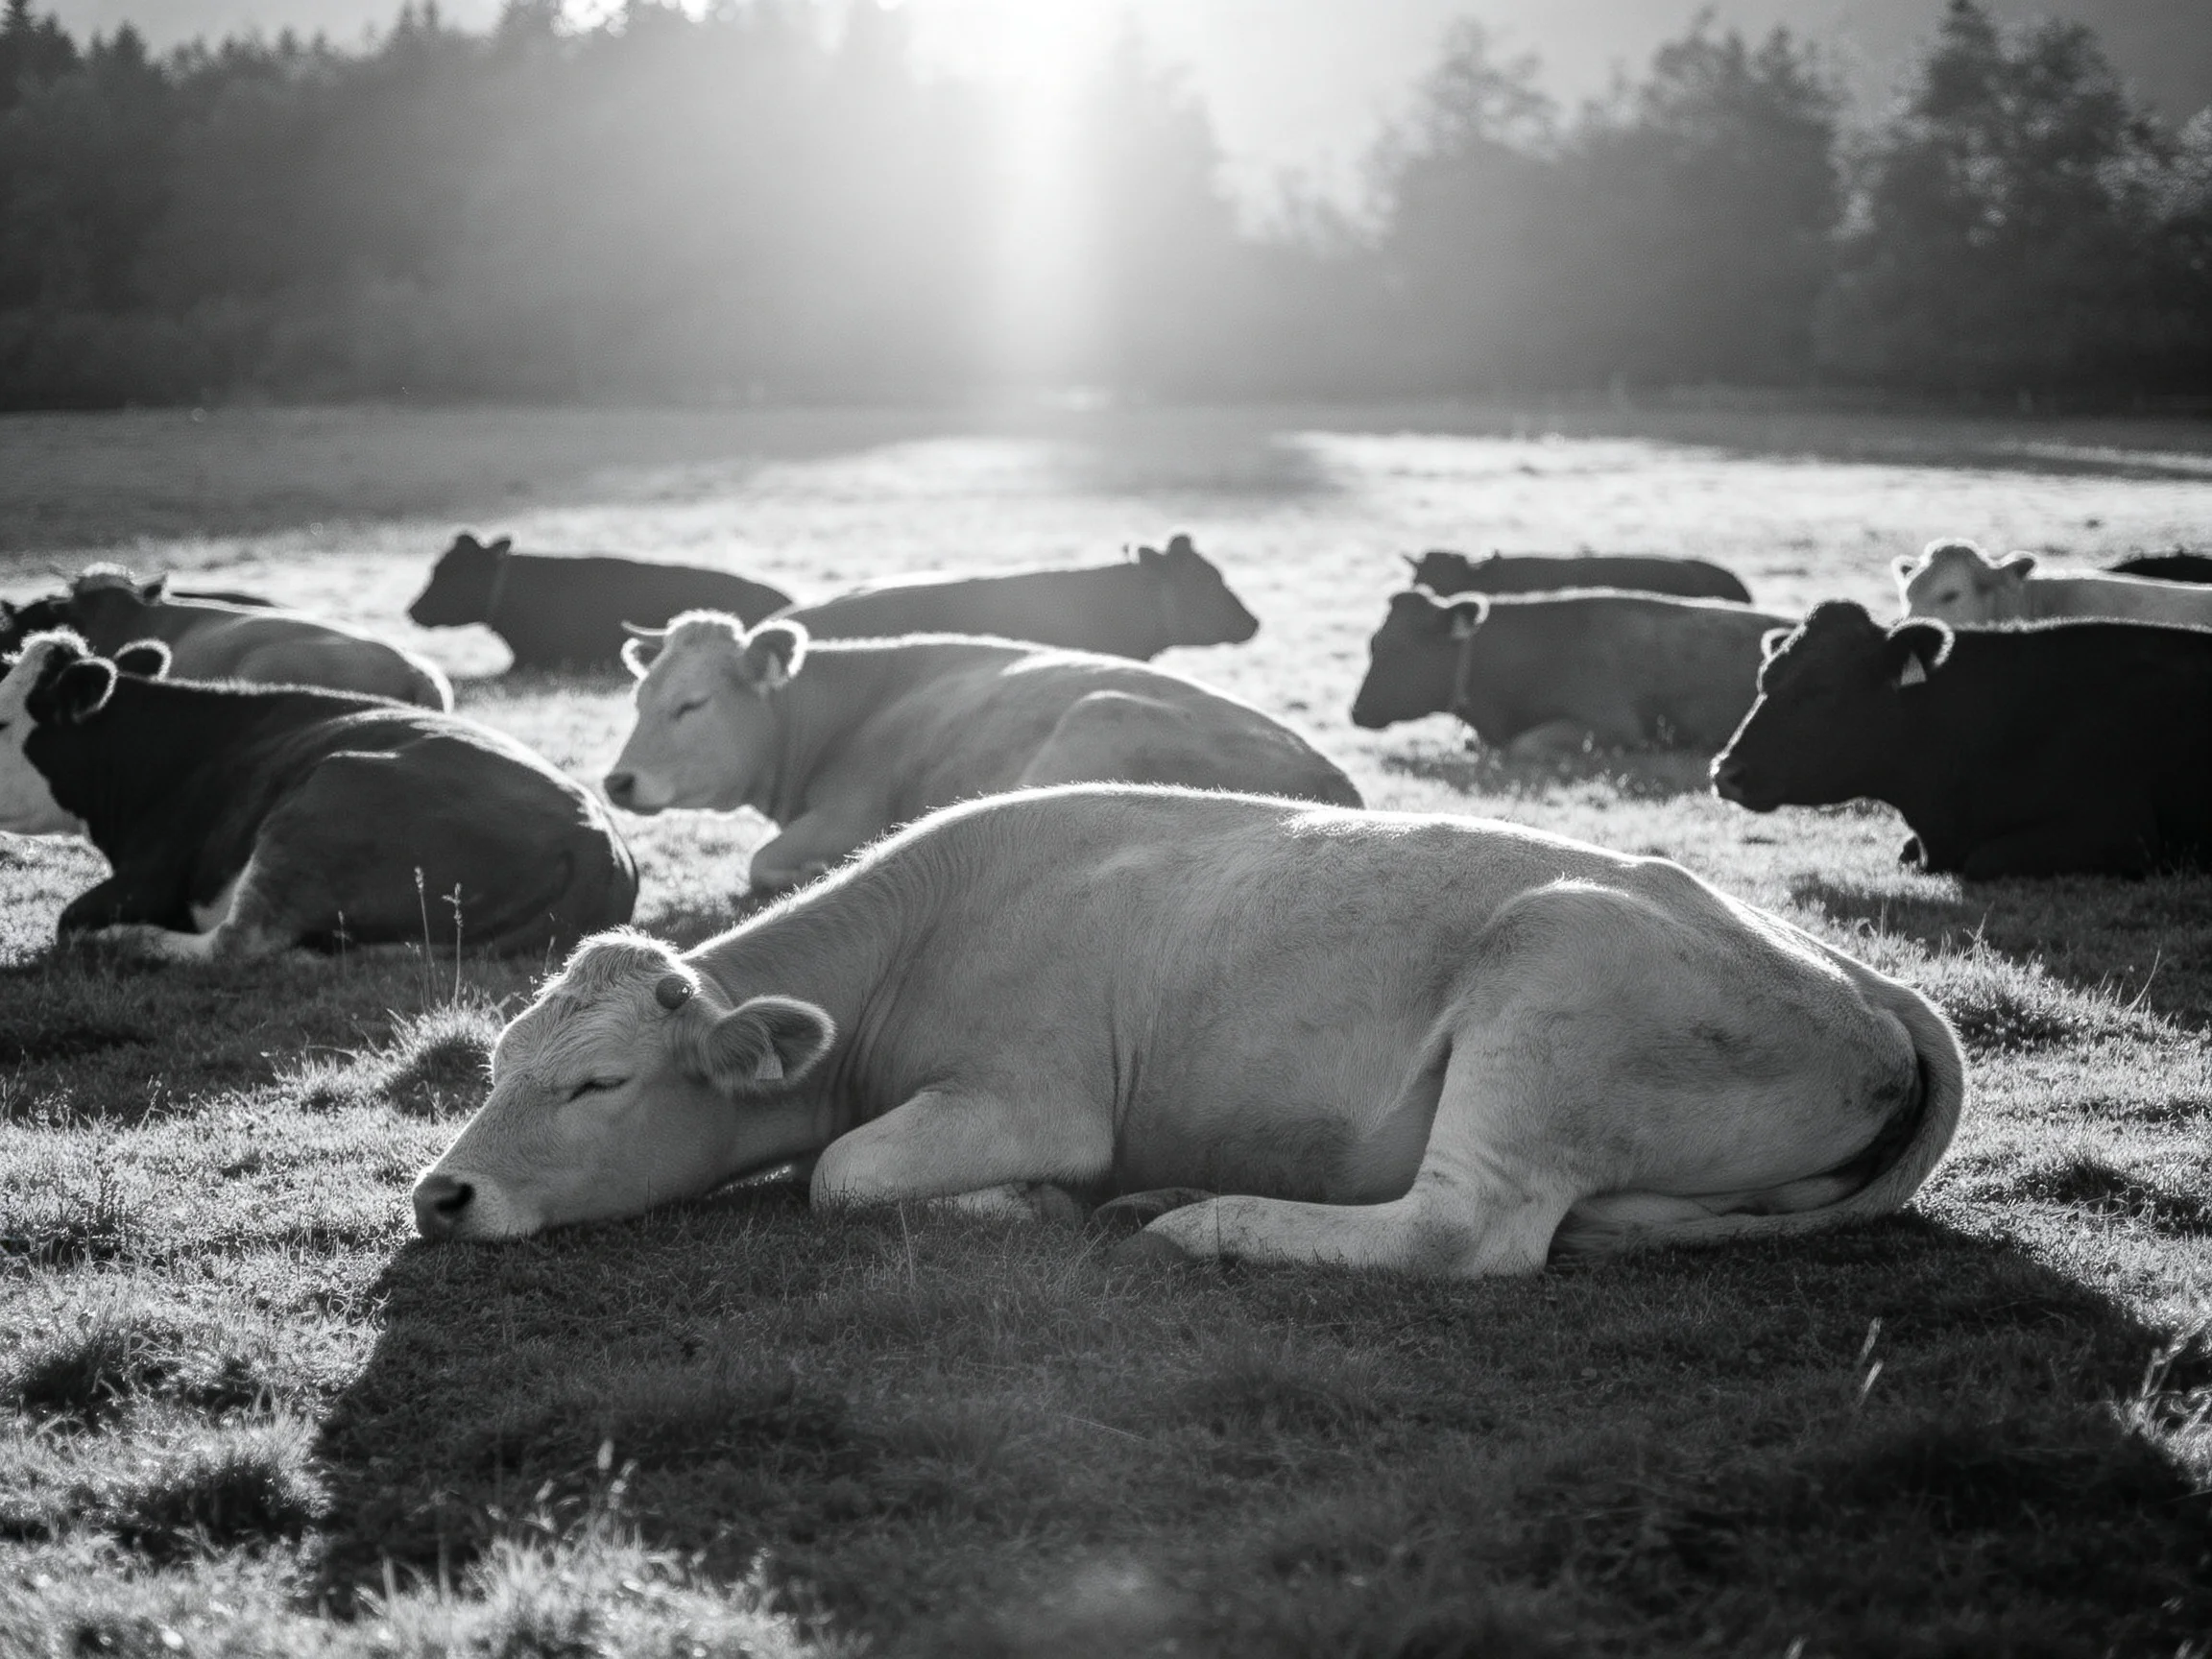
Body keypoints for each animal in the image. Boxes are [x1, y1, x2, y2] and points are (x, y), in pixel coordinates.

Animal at [0, 632, 638, 960]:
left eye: (2, 721)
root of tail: (594, 835)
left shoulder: (152, 878)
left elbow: (68, 920)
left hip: (316, 809)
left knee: (236, 944)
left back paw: (129, 941)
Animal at [410, 785, 1965, 1280]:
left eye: (598, 1083)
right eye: (498, 1065)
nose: (441, 1194)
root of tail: (1865, 986)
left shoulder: (1035, 1095)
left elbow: (841, 1172)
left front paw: (1023, 1204)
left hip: (1549, 992)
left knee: (1465, 1233)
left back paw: (1201, 1221)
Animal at [604, 612, 1358, 892]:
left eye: (691, 704)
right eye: (638, 696)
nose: (617, 783)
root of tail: (1330, 778)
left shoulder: (848, 812)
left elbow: (761, 862)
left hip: (1094, 716)